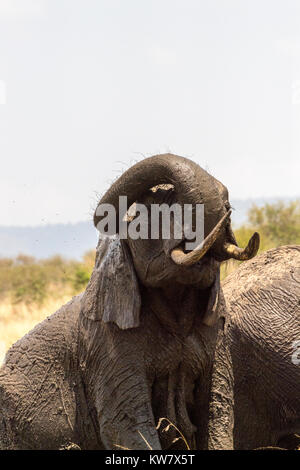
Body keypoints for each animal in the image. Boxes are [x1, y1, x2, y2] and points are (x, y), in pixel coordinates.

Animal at [0, 152, 258, 450]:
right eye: (153, 211)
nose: (227, 207)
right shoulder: (106, 343)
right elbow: (126, 426)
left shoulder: (217, 332)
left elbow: (218, 418)